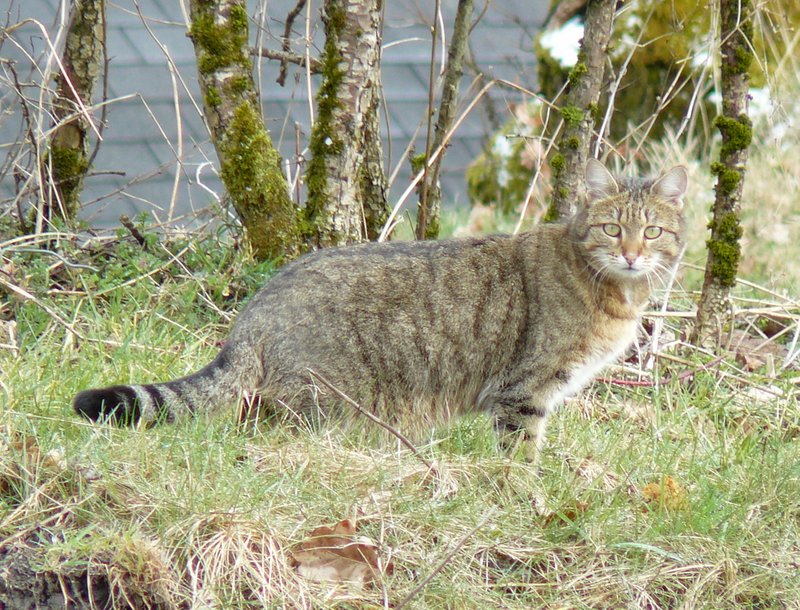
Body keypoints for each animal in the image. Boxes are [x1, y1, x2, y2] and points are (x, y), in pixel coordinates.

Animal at [73, 159, 688, 458]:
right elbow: (520, 453)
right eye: (613, 229)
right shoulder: (525, 390)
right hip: (323, 400)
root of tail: (255, 309)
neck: (615, 296)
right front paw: (525, 496)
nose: (632, 254)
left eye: (652, 231)